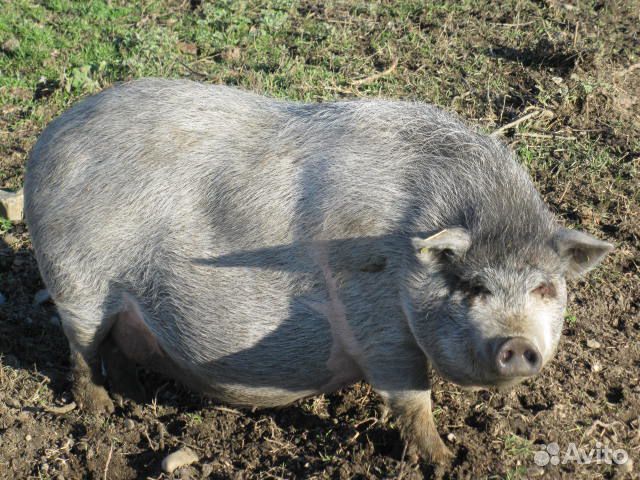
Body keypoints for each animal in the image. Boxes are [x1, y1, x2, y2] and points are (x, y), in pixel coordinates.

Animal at [25, 79, 612, 462]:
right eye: (471, 286)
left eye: (545, 287)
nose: (515, 343)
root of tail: (48, 140)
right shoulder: (377, 322)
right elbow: (411, 399)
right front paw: (445, 461)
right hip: (77, 282)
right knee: (81, 352)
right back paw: (102, 414)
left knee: (116, 349)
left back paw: (134, 402)